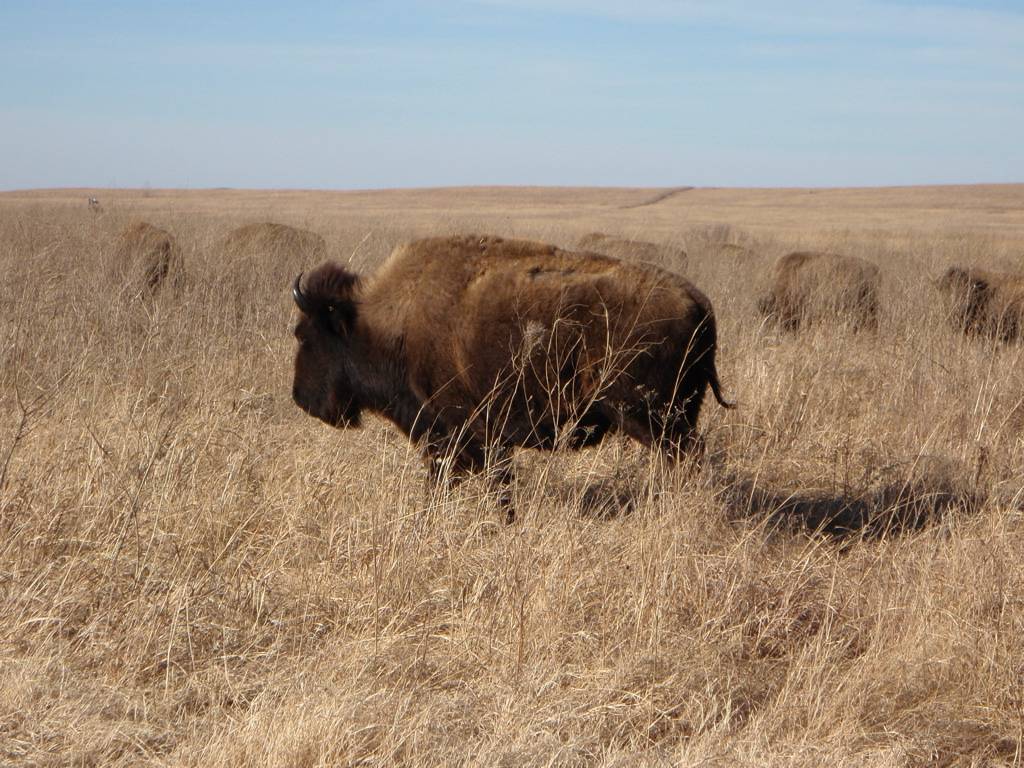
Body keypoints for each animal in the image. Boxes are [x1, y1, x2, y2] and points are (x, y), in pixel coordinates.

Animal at [291, 234, 733, 519]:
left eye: (304, 334)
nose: (301, 399)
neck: (384, 320)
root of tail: (699, 303)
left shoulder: (463, 433)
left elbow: (486, 483)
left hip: (655, 418)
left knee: (686, 457)